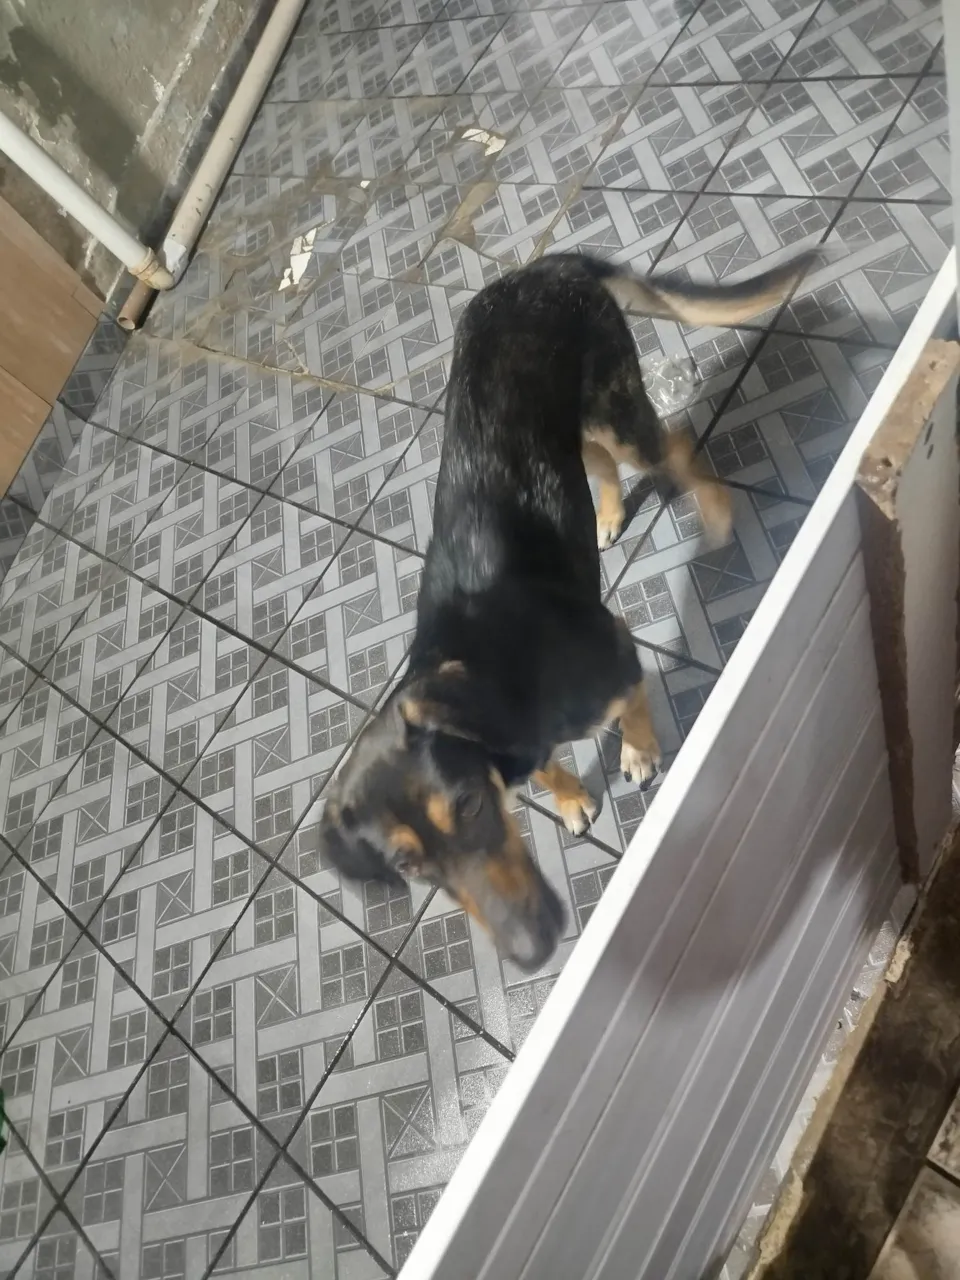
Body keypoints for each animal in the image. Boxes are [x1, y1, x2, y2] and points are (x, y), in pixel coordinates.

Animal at [319, 251, 818, 970]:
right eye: (409, 867)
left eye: (467, 806)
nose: (531, 953)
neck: (491, 675)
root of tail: (543, 266)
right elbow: (548, 767)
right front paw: (572, 796)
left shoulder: (615, 648)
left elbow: (632, 703)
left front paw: (638, 752)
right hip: (573, 436)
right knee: (605, 464)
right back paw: (608, 516)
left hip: (615, 405)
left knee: (673, 442)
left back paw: (716, 509)